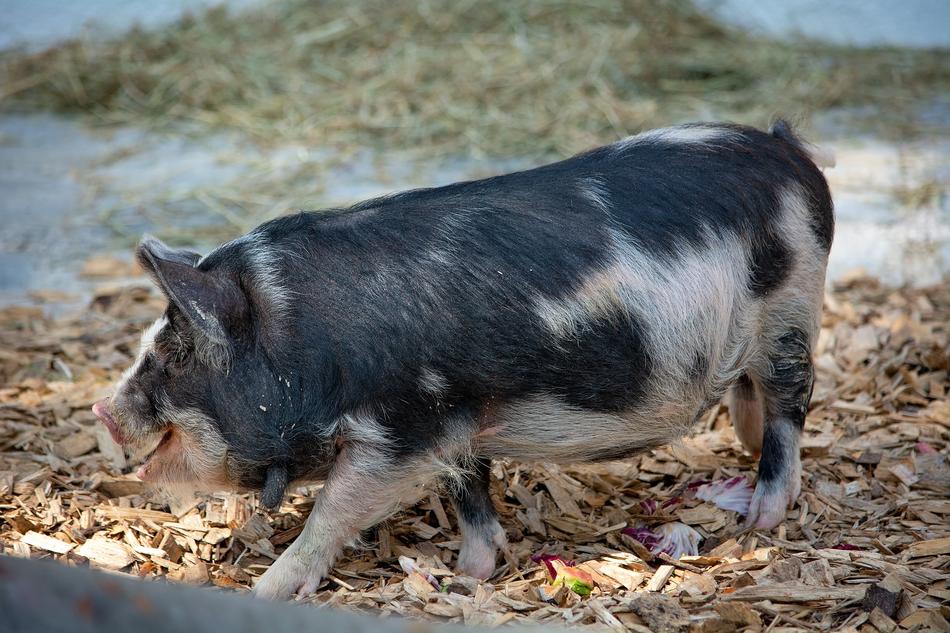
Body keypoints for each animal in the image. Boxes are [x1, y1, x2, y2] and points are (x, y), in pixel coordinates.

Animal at [92, 121, 833, 600]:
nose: (102, 407)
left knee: (791, 408)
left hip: (791, 314)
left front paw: (266, 591)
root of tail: (788, 151)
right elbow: (469, 493)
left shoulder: (401, 428)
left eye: (174, 353)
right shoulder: (456, 417)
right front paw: (470, 574)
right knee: (755, 401)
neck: (306, 346)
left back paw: (760, 516)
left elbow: (332, 511)